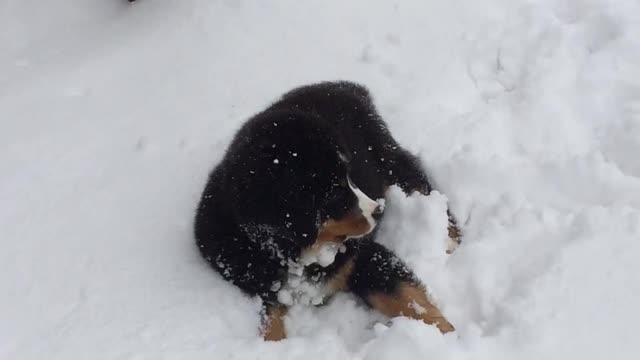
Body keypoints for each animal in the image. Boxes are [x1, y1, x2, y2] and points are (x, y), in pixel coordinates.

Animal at [195, 81, 460, 340]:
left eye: (350, 178)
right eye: (334, 192)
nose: (378, 210)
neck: (296, 253)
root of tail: (343, 86)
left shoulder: (361, 257)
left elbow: (407, 297)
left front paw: (448, 338)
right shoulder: (266, 285)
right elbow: (272, 325)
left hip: (390, 163)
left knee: (422, 187)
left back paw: (447, 241)